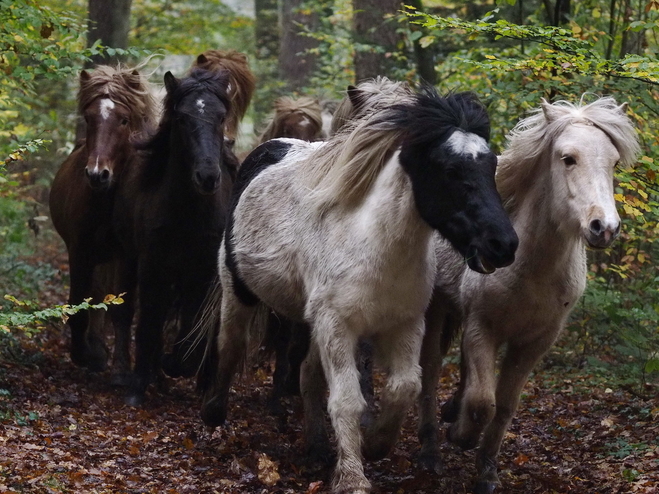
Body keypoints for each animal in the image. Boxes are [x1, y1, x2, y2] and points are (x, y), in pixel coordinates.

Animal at [49, 64, 157, 374]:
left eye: (123, 120)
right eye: (88, 118)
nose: (97, 175)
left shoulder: (127, 255)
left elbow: (120, 308)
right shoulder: (79, 250)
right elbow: (79, 304)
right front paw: (83, 354)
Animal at [418, 94, 640, 492]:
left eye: (614, 162)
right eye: (568, 158)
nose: (605, 227)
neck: (532, 270)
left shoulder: (535, 342)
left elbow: (505, 405)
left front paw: (487, 470)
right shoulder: (482, 328)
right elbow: (483, 402)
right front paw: (461, 436)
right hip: (436, 310)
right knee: (429, 371)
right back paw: (430, 449)